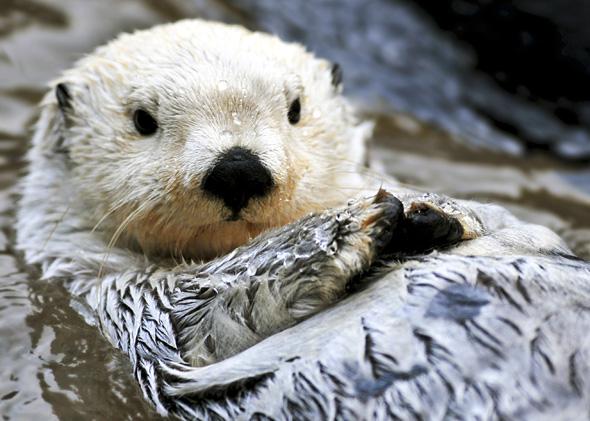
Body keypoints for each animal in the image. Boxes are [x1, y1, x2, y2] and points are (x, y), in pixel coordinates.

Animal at [16, 18, 588, 416]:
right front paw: (348, 228)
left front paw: (433, 212)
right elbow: (200, 312)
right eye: (142, 120)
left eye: (295, 109)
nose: (238, 169)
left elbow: (516, 226)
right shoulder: (131, 302)